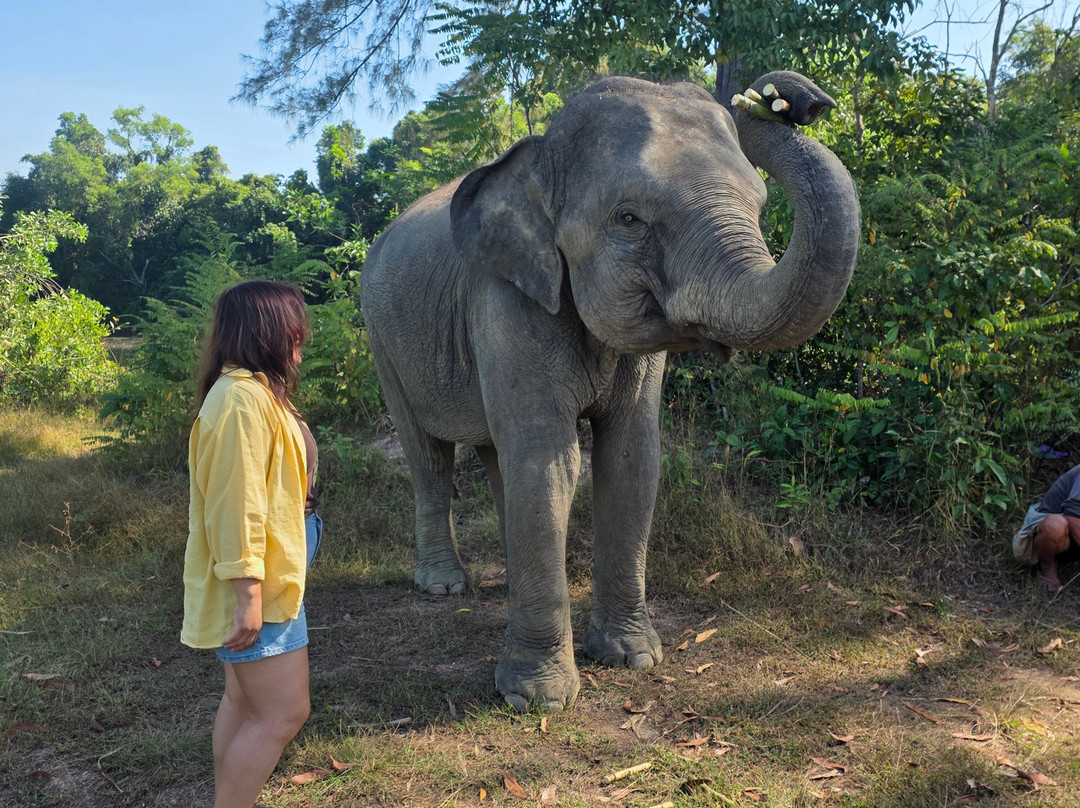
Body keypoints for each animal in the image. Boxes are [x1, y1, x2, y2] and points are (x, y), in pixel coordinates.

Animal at [360, 70, 860, 712]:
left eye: (761, 205)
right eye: (628, 219)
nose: (789, 97)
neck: (540, 156)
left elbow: (630, 458)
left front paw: (632, 658)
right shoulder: (503, 296)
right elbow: (551, 461)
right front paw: (538, 700)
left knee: (497, 453)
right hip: (381, 339)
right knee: (429, 456)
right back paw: (444, 586)